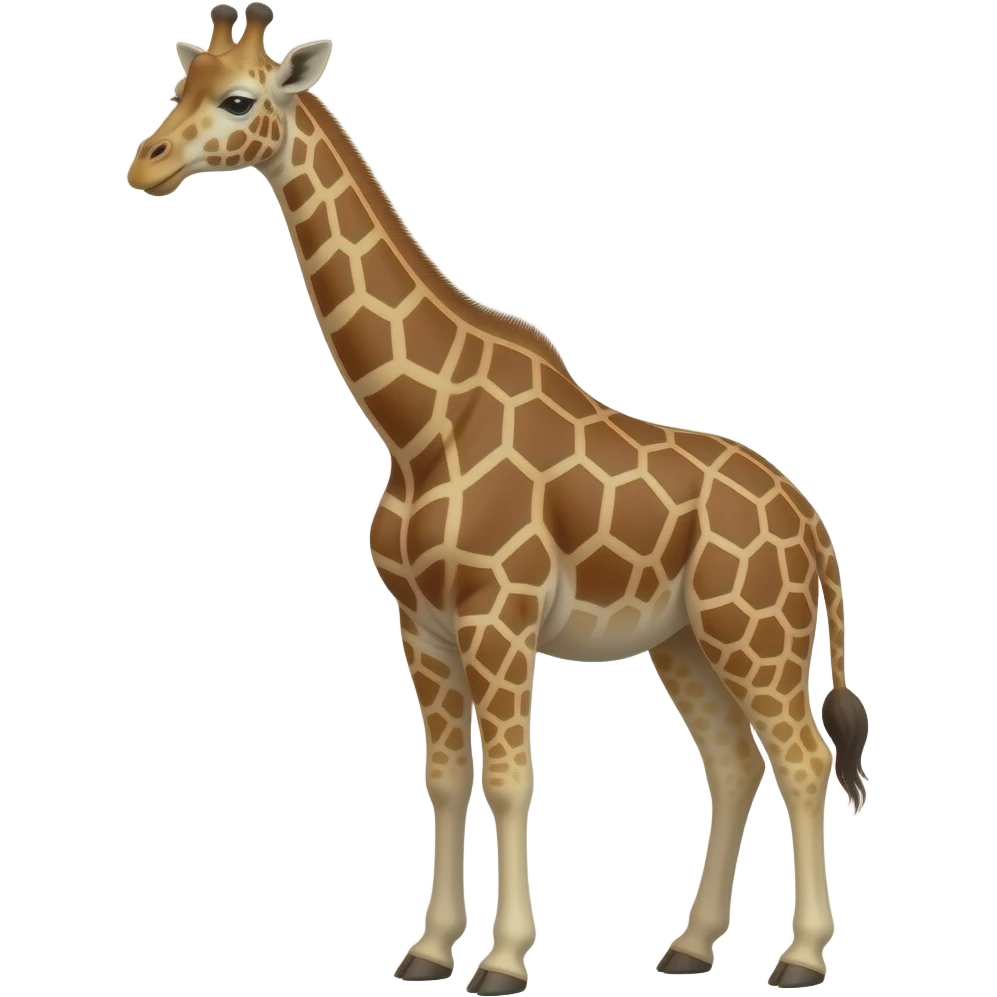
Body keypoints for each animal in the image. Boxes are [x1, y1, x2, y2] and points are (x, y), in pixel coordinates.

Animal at [126, 5, 870, 992]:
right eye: (181, 86)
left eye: (241, 99)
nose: (147, 164)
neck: (419, 424)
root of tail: (811, 522)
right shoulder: (420, 624)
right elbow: (445, 778)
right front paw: (427, 949)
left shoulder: (497, 616)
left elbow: (510, 780)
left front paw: (504, 959)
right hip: (683, 640)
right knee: (733, 760)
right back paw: (688, 945)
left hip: (757, 633)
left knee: (804, 756)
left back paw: (800, 955)